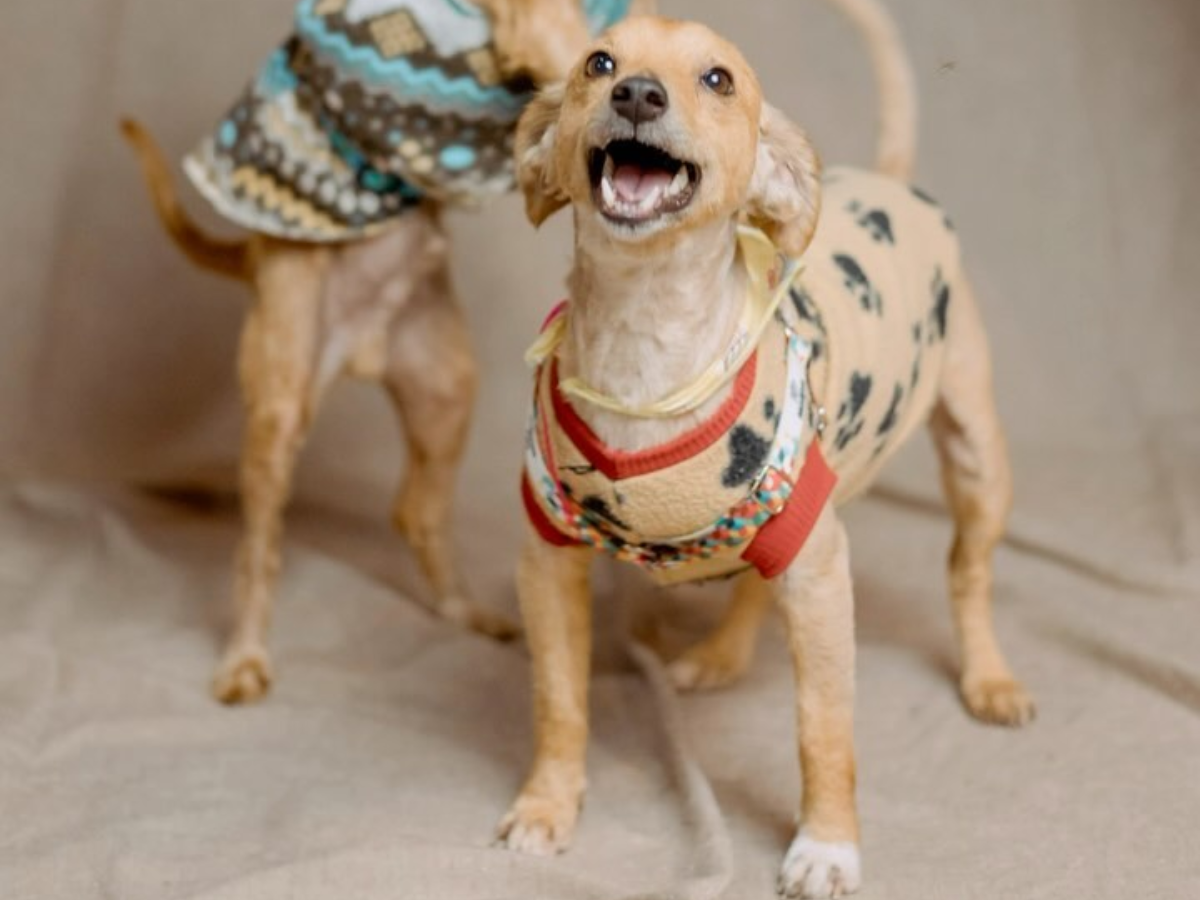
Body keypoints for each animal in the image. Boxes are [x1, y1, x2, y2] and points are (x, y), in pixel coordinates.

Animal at [119, 0, 648, 705]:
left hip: (447, 392)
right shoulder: (546, 43)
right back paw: (244, 658)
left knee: (415, 513)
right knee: (258, 550)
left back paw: (463, 610)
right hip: (280, 406)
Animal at [494, 3, 1032, 897]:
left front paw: (827, 845)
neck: (646, 343)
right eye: (597, 63)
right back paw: (720, 654)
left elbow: (824, 732)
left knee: (969, 574)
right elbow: (559, 700)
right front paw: (548, 805)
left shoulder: (822, 581)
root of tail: (885, 180)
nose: (638, 94)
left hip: (973, 459)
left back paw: (989, 678)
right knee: (752, 579)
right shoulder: (548, 563)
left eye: (718, 79)